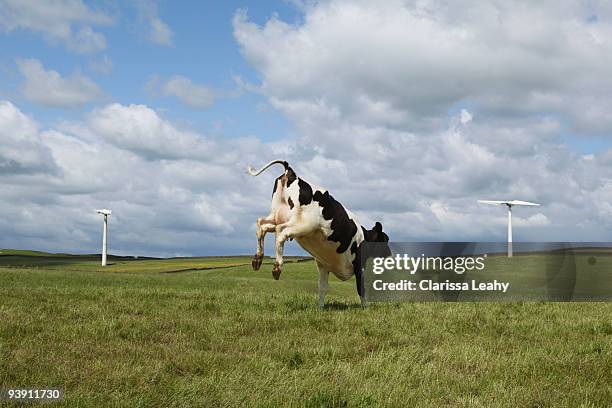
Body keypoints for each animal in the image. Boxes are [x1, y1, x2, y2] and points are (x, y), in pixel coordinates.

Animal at [246, 159, 390, 306]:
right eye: (386, 240)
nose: (390, 253)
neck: (364, 237)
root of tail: (292, 174)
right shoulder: (359, 266)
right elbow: (361, 288)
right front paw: (365, 306)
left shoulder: (323, 266)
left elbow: (322, 287)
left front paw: (320, 307)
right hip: (303, 223)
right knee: (280, 231)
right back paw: (277, 267)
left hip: (276, 216)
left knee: (261, 225)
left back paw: (257, 259)